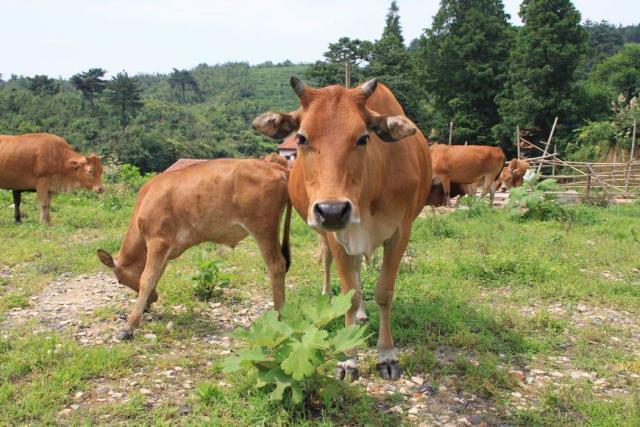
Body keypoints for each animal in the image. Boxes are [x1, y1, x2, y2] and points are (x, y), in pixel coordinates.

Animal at [96, 158, 292, 342]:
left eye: (120, 281)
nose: (154, 299)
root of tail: (275, 167)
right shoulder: (166, 250)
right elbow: (156, 275)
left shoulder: (158, 241)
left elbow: (147, 278)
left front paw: (129, 327)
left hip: (262, 228)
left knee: (276, 265)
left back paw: (279, 316)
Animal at [252, 77, 432, 382]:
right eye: (301, 138)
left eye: (363, 137)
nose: (333, 210)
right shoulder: (337, 235)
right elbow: (350, 294)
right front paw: (348, 359)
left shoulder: (399, 233)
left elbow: (384, 292)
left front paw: (386, 355)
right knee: (331, 264)